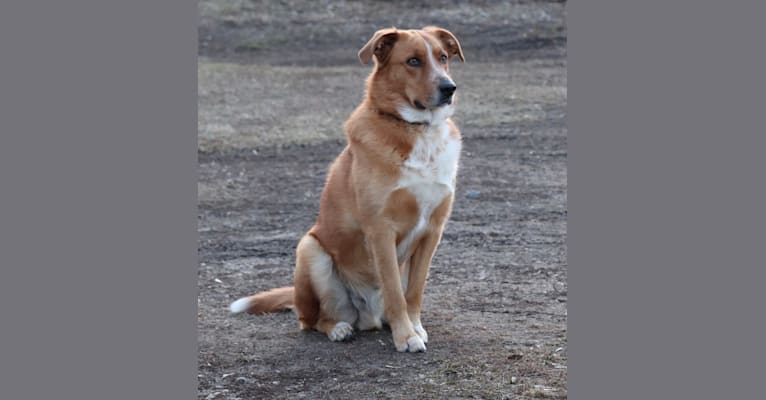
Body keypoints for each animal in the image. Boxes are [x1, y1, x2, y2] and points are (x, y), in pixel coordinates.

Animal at [231, 25, 464, 354]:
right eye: (413, 61)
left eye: (443, 57)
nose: (449, 88)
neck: (416, 130)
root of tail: (367, 317)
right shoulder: (380, 230)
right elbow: (395, 292)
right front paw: (406, 336)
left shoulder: (433, 230)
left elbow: (414, 291)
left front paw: (414, 326)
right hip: (310, 249)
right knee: (313, 319)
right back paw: (339, 328)